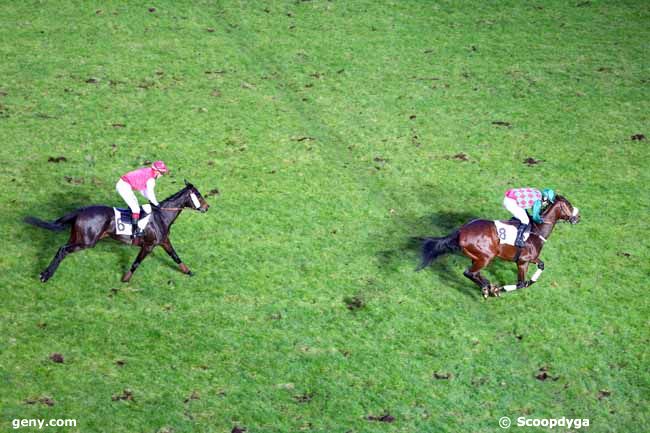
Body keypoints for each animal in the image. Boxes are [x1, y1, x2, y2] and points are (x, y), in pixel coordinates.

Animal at [24, 181, 210, 282]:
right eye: (199, 196)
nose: (207, 207)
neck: (161, 216)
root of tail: (81, 211)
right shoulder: (148, 245)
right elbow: (136, 263)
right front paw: (125, 279)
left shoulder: (164, 241)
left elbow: (176, 257)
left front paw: (188, 271)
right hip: (87, 242)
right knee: (63, 250)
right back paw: (46, 276)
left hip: (77, 236)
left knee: (60, 249)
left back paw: (45, 273)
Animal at [418, 196, 580, 296]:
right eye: (569, 205)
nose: (578, 217)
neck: (537, 230)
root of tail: (462, 231)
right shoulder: (523, 261)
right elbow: (521, 284)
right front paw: (501, 289)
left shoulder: (531, 258)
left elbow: (541, 265)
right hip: (486, 257)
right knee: (469, 273)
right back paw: (489, 288)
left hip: (478, 256)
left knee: (475, 273)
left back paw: (487, 286)